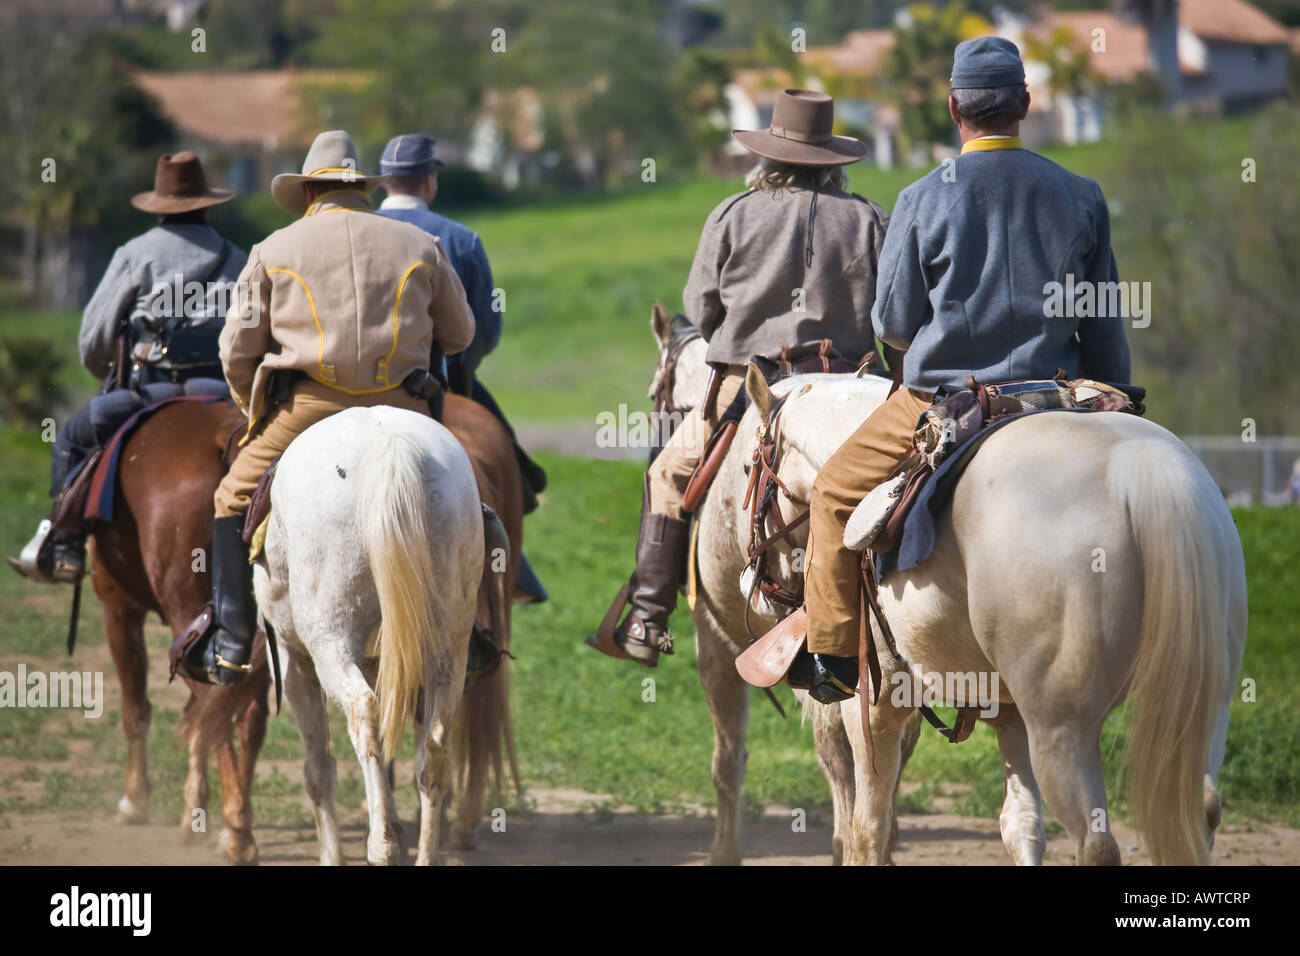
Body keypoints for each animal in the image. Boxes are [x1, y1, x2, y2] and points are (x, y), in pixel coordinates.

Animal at [89, 398, 270, 864]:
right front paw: (195, 810)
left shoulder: (118, 609)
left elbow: (136, 709)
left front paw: (136, 801)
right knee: (243, 713)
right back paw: (235, 827)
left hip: (181, 609)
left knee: (215, 705)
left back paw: (237, 832)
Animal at [256, 405, 484, 865]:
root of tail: (390, 449)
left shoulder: (291, 658)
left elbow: (318, 768)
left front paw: (332, 853)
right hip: (448, 647)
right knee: (433, 748)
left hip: (330, 644)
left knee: (364, 714)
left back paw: (382, 846)